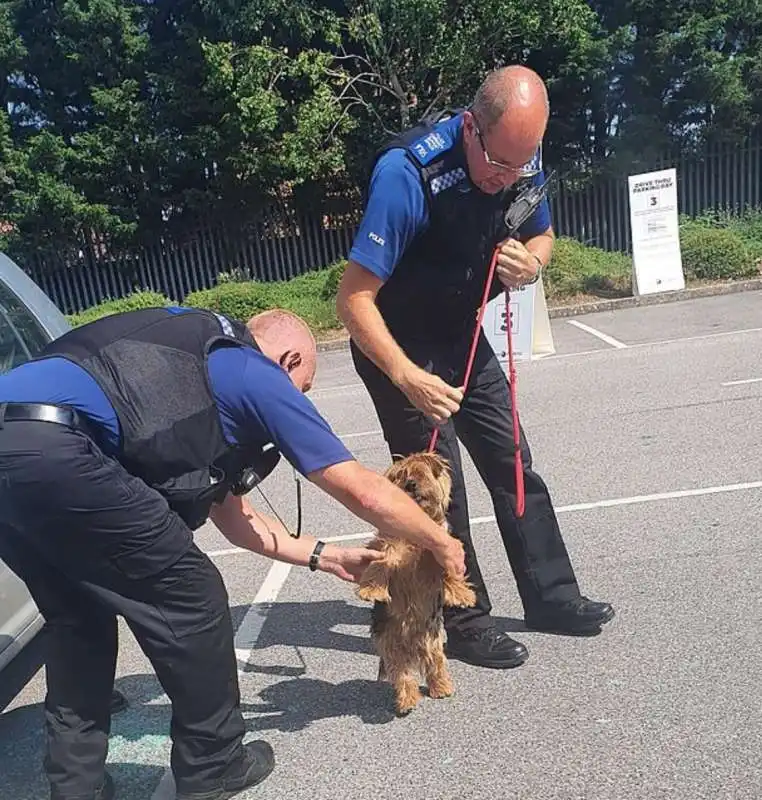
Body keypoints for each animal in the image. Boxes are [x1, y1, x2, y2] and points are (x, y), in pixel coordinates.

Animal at [354, 454, 472, 716]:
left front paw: (461, 593)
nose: (410, 484)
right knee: (403, 676)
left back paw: (442, 687)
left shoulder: (438, 547)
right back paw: (406, 701)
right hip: (391, 647)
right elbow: (383, 561)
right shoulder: (388, 543)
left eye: (419, 473)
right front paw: (371, 589)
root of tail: (412, 643)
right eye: (400, 476)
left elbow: (448, 564)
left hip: (433, 642)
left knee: (436, 665)